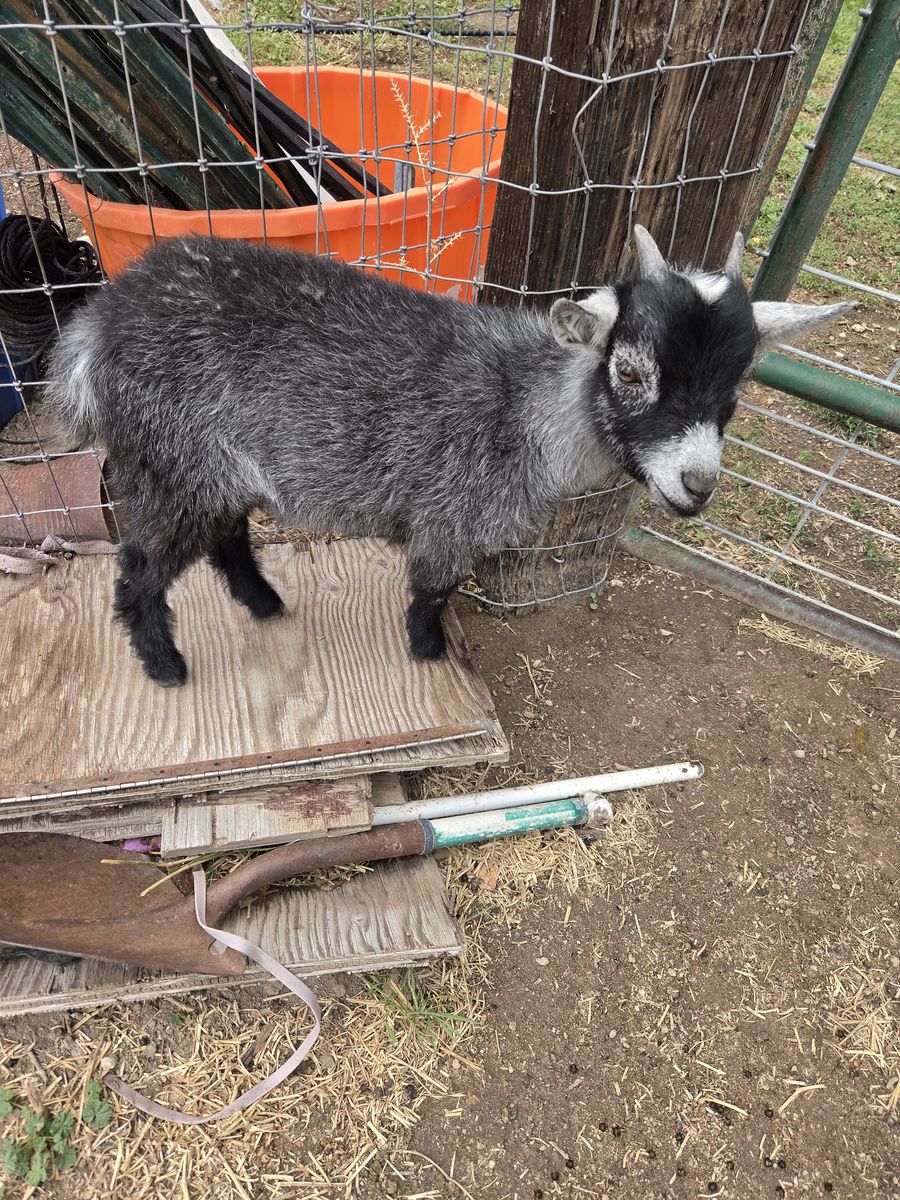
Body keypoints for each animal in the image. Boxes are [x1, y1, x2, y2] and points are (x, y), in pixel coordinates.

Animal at [14, 224, 852, 686]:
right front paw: (428, 653)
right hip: (170, 462)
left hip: (210, 467)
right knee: (139, 570)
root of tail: (95, 328)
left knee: (225, 538)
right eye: (631, 372)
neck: (526, 408)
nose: (697, 484)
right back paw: (165, 667)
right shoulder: (452, 516)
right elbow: (433, 592)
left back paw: (264, 603)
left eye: (738, 385)